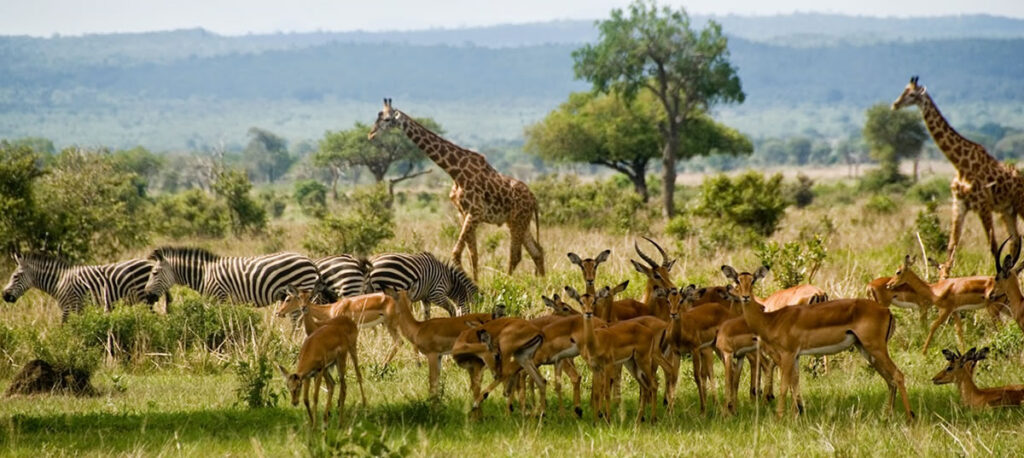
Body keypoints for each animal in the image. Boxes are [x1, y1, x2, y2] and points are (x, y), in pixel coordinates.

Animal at [2, 252, 163, 321]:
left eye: (15, 277)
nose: (4, 295)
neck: (59, 282)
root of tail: (150, 263)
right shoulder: (77, 308)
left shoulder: (69, 307)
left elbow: (65, 328)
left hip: (145, 300)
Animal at [142, 246, 324, 307]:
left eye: (154, 273)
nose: (147, 296)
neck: (204, 274)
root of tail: (308, 259)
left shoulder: (218, 298)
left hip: (300, 290)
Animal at [368, 98, 544, 280]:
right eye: (377, 116)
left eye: (387, 119)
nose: (371, 135)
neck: (455, 172)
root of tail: (534, 199)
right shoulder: (463, 213)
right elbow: (473, 255)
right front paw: (475, 282)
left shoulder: (475, 212)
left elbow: (456, 253)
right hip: (519, 221)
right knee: (537, 251)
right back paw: (541, 282)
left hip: (517, 220)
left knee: (516, 255)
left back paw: (507, 281)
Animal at [892, 76, 1024, 279]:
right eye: (904, 90)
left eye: (912, 94)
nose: (895, 104)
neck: (960, 164)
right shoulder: (959, 204)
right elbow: (951, 245)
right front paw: (944, 276)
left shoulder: (983, 206)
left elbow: (992, 245)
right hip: (1007, 210)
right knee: (1016, 239)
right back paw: (1014, 270)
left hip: (1019, 205)